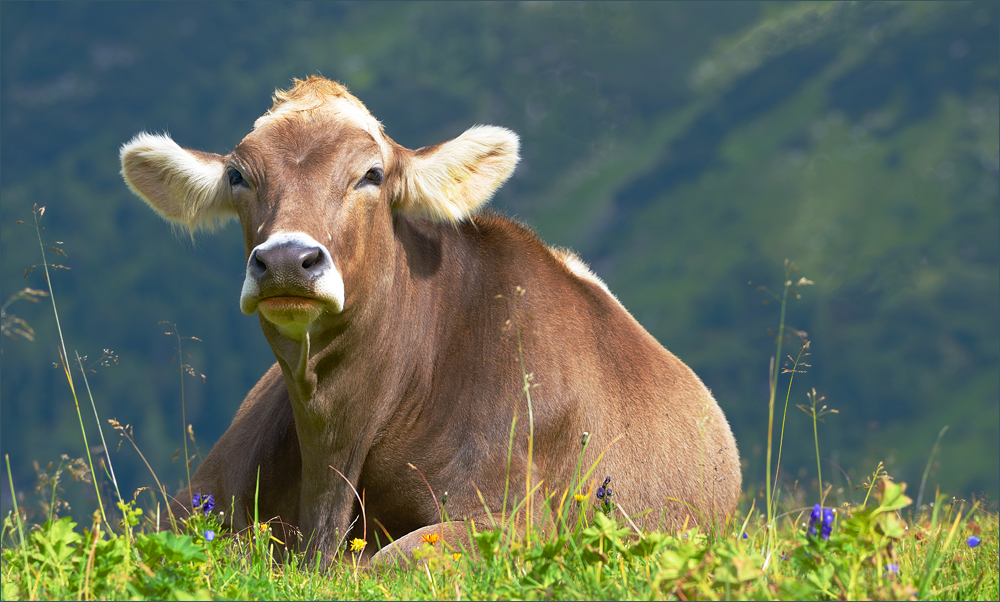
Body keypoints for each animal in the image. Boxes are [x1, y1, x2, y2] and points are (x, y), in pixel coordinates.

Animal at [119, 76, 744, 564]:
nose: (286, 260)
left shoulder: (509, 520)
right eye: (239, 177)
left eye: (371, 175)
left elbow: (388, 563)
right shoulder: (189, 506)